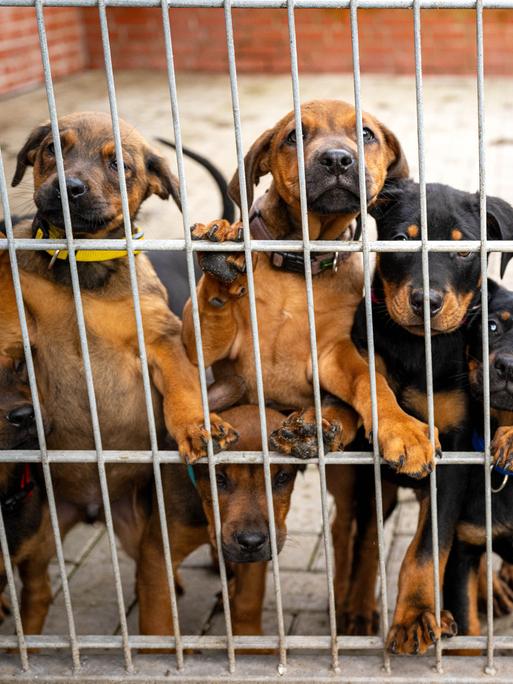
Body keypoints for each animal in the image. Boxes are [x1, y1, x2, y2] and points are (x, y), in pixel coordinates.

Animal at [1, 111, 238, 632]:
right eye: (52, 149)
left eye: (118, 165)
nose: (67, 187)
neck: (81, 263)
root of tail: (93, 510)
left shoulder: (162, 338)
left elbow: (184, 386)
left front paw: (197, 427)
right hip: (43, 530)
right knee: (38, 585)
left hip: (137, 527)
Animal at [137, 404, 300, 640]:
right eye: (219, 479)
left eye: (282, 478)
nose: (251, 541)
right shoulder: (158, 550)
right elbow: (156, 613)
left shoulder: (259, 551)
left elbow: (249, 597)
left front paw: (251, 639)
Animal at [182, 100, 438, 480]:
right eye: (294, 136)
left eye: (366, 134)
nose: (336, 159)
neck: (298, 264)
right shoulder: (209, 347)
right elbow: (207, 310)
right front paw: (224, 250)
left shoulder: (333, 353)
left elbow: (371, 382)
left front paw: (403, 429)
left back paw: (313, 430)